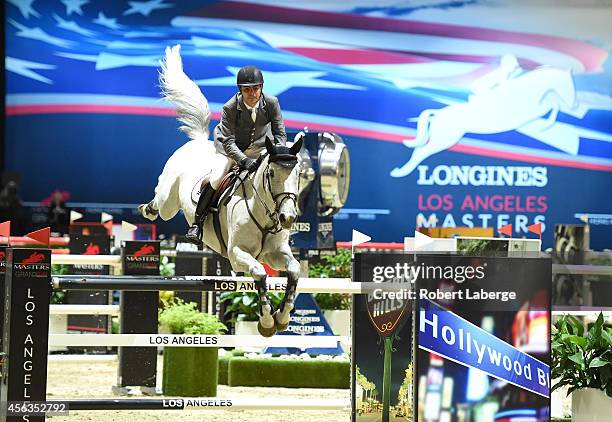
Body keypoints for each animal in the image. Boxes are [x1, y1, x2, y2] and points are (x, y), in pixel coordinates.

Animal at [139, 45, 302, 336]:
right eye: (271, 174)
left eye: (299, 174)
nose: (288, 218)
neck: (265, 214)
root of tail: (198, 142)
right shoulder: (238, 255)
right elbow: (260, 275)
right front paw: (267, 322)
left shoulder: (276, 253)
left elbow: (294, 271)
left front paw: (283, 317)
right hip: (170, 200)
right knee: (161, 201)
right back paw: (147, 209)